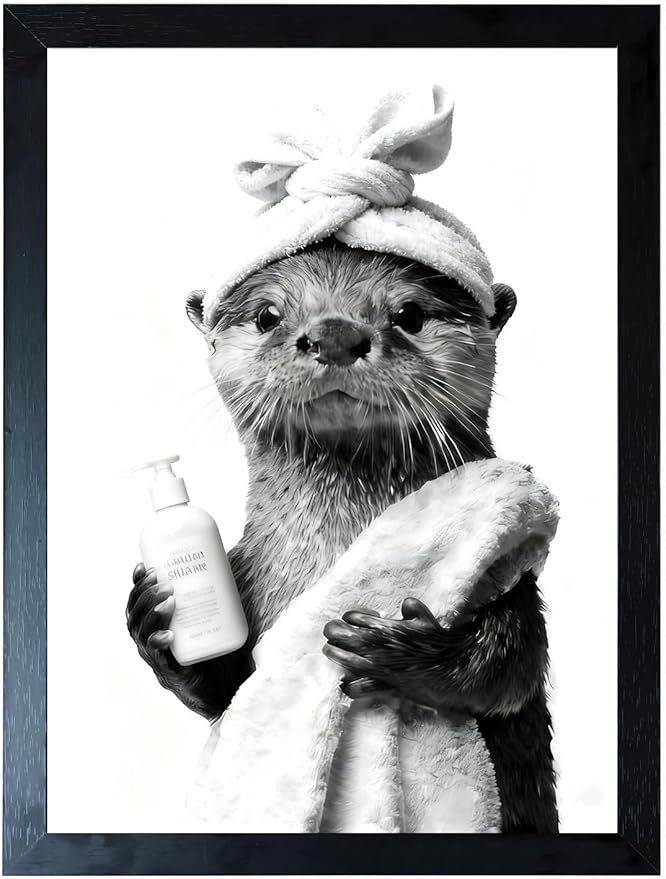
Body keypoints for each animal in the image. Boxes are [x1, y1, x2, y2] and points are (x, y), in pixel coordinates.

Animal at [126, 239, 558, 833]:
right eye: (268, 315)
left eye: (410, 314)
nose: (334, 335)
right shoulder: (241, 574)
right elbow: (225, 696)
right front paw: (150, 616)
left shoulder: (511, 571)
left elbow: (512, 666)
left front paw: (399, 652)